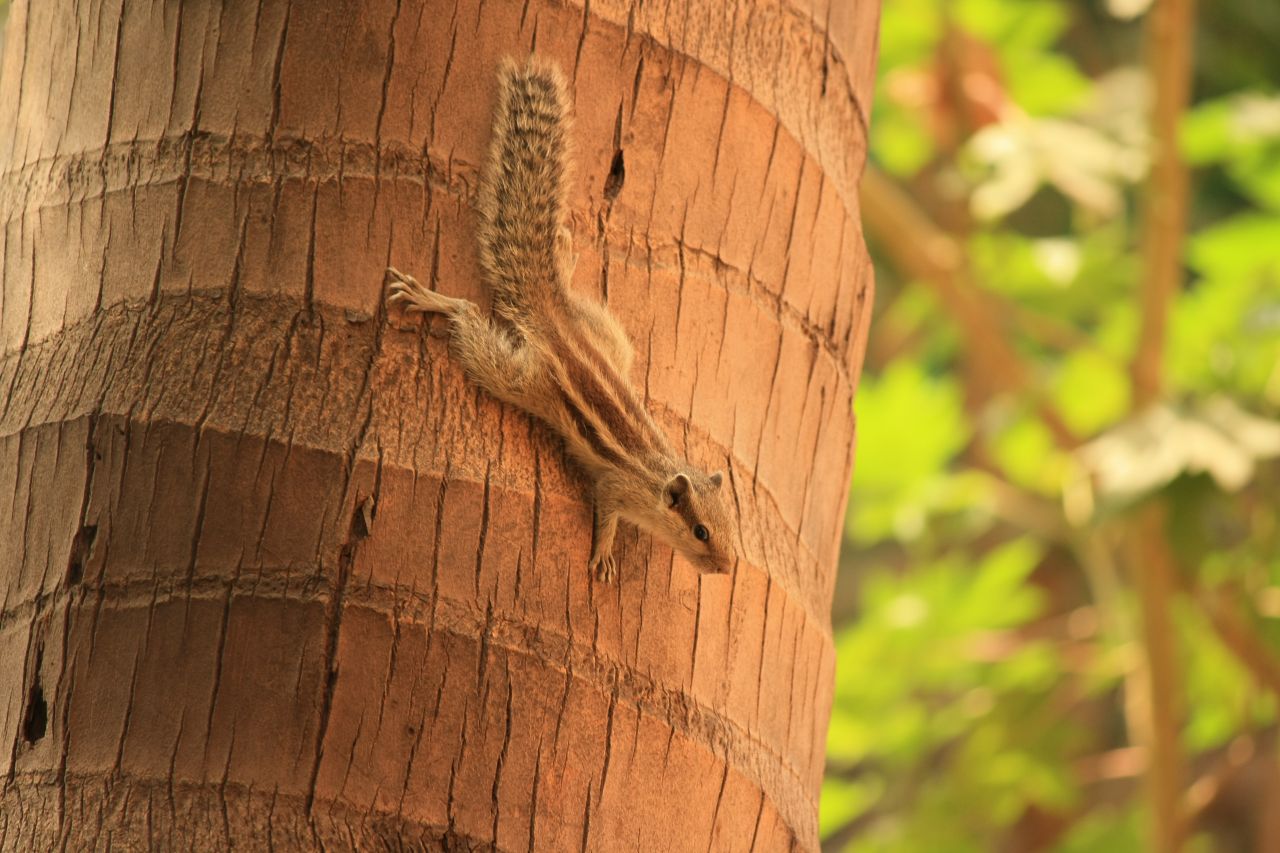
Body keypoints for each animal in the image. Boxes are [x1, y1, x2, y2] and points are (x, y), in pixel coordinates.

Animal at [384, 56, 737, 581]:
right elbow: (606, 514)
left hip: (610, 337)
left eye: (732, 529)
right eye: (701, 532)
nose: (728, 568)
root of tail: (555, 320)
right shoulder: (616, 488)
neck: (656, 475)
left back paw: (564, 260)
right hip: (523, 379)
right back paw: (432, 299)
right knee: (470, 318)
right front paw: (603, 556)